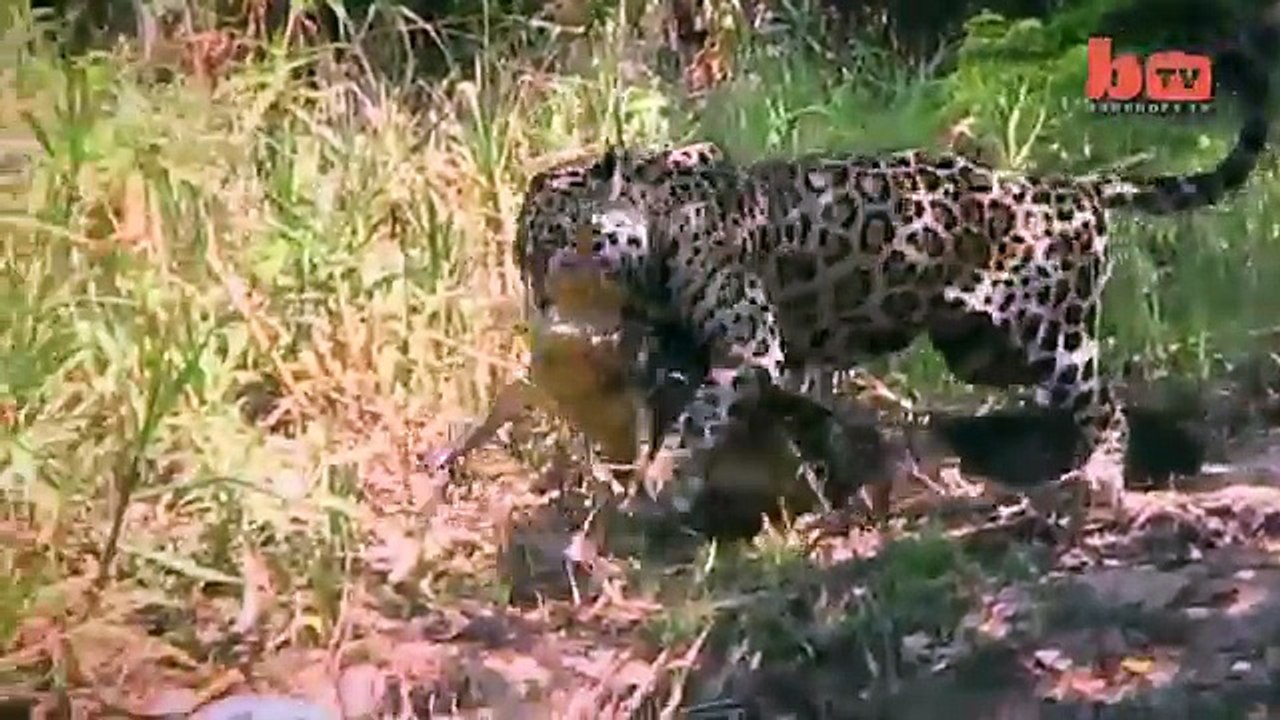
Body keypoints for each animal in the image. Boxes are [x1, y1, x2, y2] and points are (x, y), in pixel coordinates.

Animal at [513, 8, 1280, 532]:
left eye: (545, 242)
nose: (534, 298)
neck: (657, 223)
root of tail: (1077, 187)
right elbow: (772, 412)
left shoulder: (749, 344)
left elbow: (701, 417)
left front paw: (666, 478)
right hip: (982, 349)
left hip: (1053, 335)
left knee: (1105, 402)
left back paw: (1097, 477)